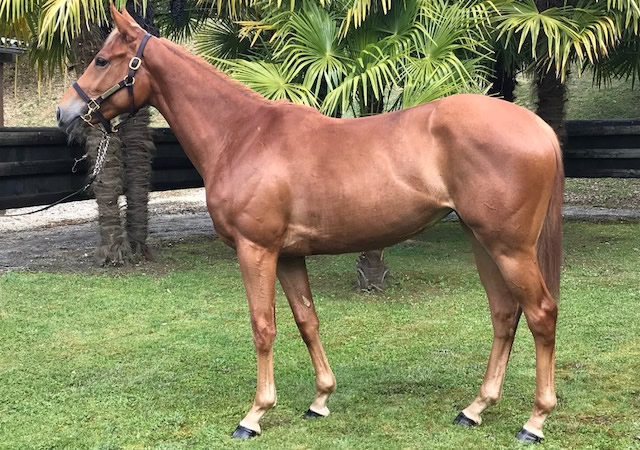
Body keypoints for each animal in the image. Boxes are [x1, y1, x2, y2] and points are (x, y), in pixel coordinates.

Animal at [57, 4, 564, 444]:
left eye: (102, 59)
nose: (64, 113)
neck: (241, 136)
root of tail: (539, 128)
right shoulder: (288, 255)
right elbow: (307, 320)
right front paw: (320, 399)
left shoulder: (256, 249)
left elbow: (263, 326)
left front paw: (254, 414)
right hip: (482, 241)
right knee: (504, 314)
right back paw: (475, 408)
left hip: (510, 248)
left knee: (540, 313)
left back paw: (535, 421)